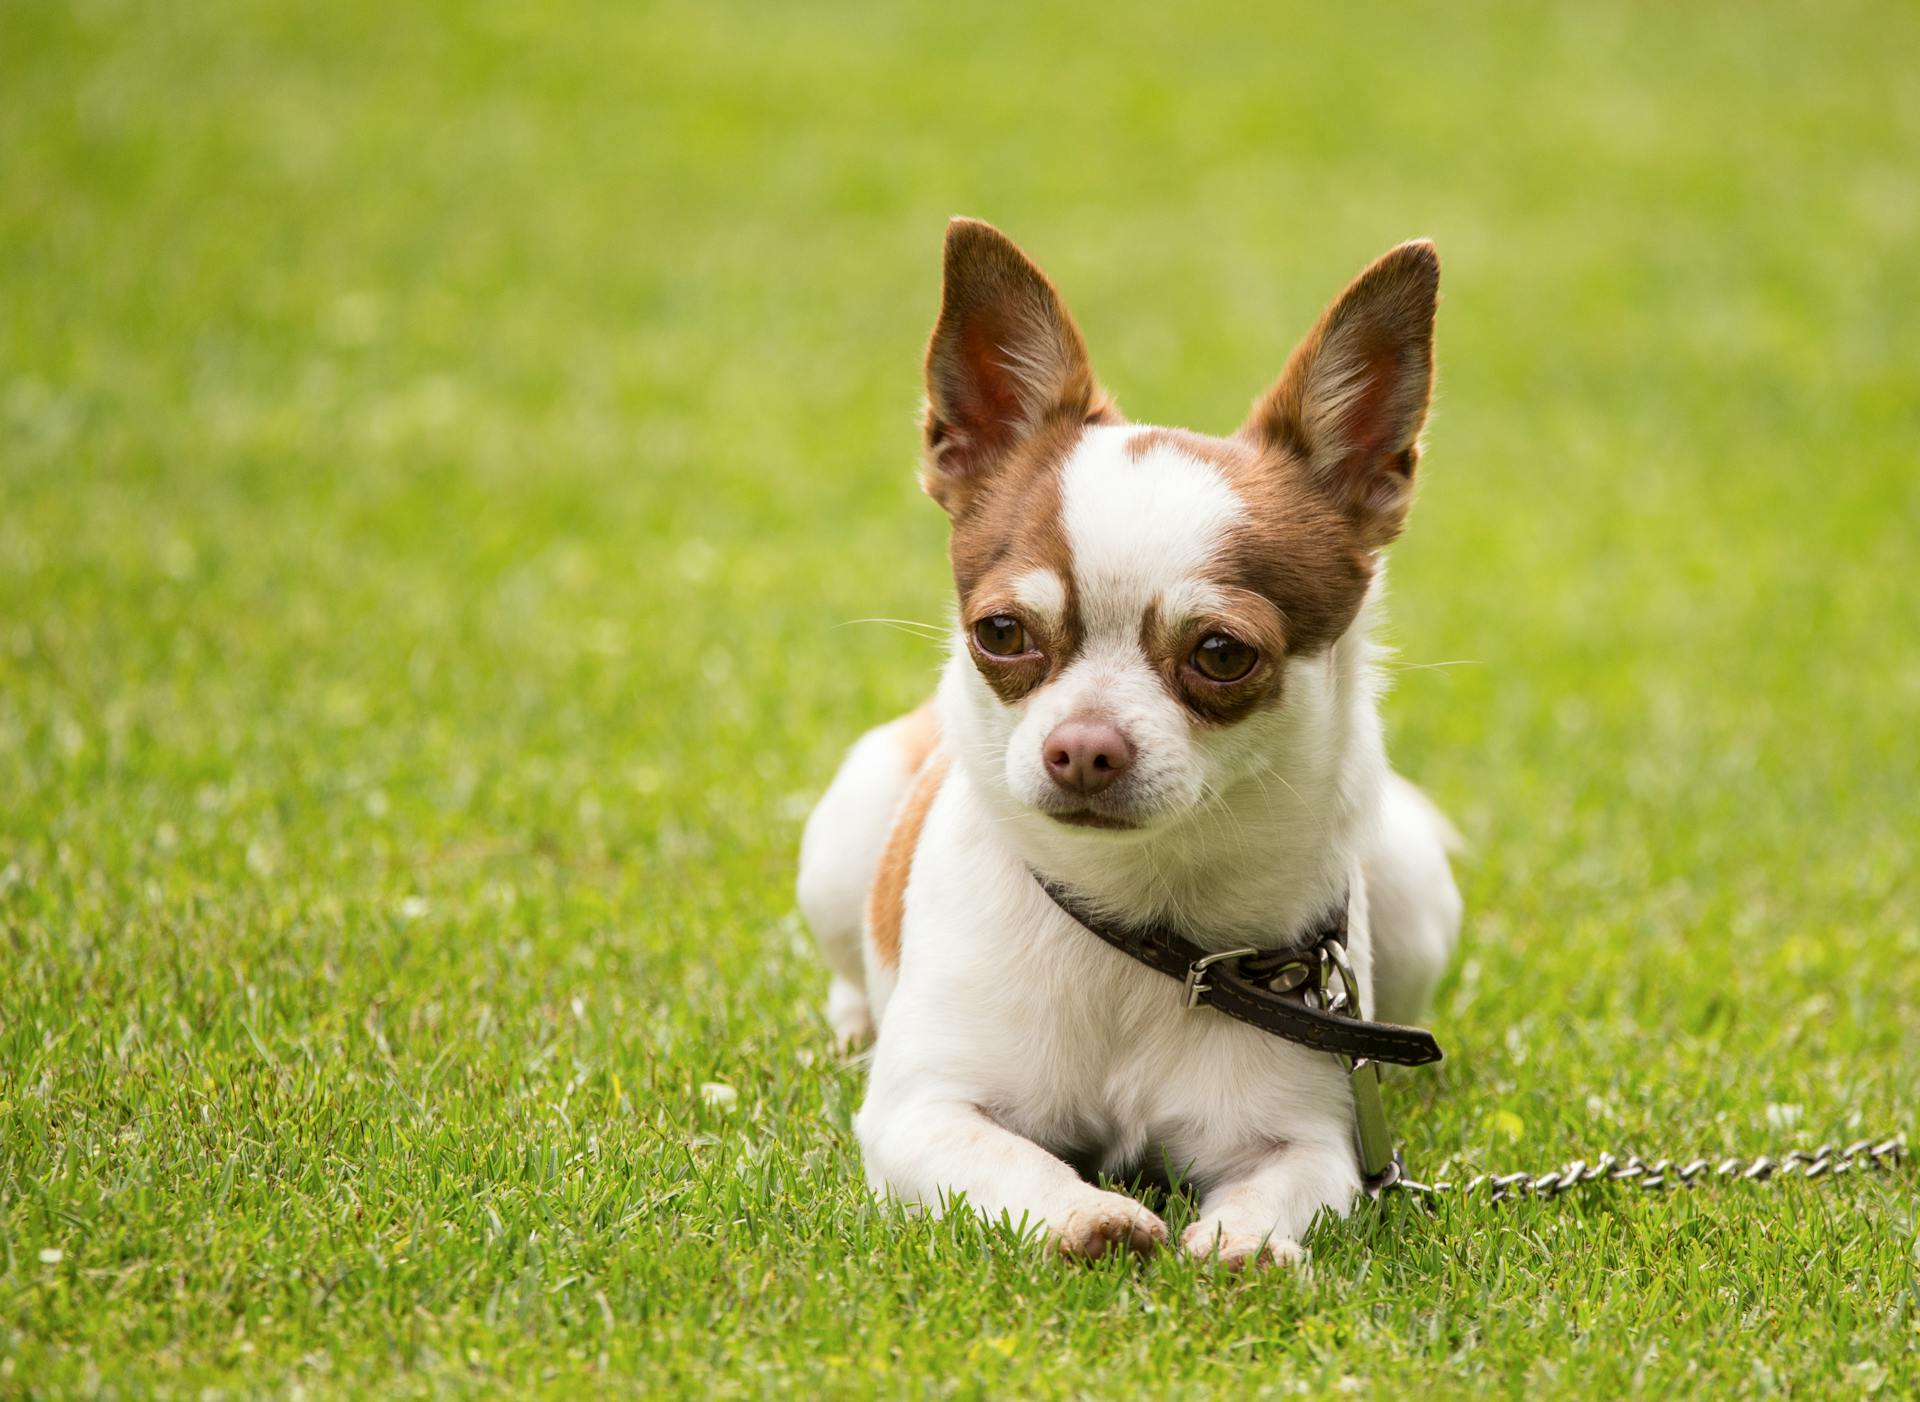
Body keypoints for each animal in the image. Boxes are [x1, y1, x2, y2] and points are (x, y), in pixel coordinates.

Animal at [794, 220, 1451, 1267]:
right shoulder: (921, 1115)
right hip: (842, 835)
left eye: (1222, 654)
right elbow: (1009, 1162)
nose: (1083, 748)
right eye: (1001, 633)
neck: (1143, 922)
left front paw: (1243, 1245)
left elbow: (1287, 1190)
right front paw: (1086, 1215)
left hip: (1414, 889)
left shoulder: (1306, 1138)